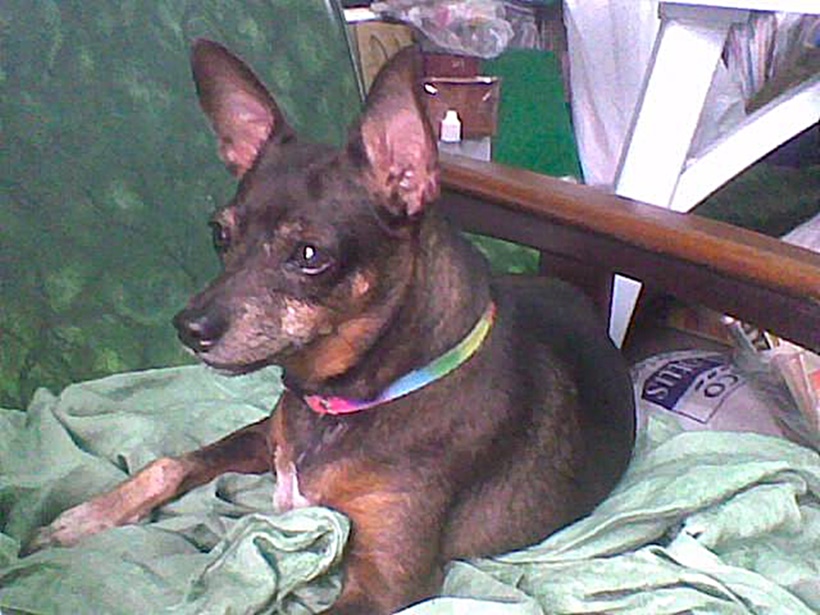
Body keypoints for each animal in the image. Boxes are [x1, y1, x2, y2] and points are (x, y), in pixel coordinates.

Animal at [29, 40, 635, 613]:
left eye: (309, 254)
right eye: (219, 234)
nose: (189, 328)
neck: (346, 398)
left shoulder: (386, 581)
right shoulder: (263, 437)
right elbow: (167, 464)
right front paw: (84, 518)